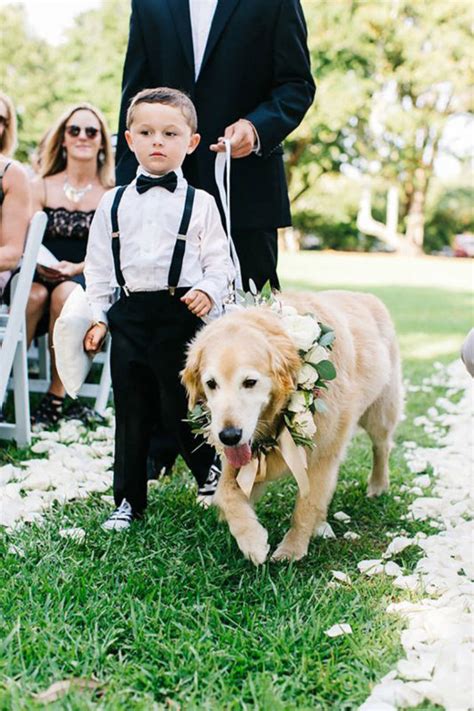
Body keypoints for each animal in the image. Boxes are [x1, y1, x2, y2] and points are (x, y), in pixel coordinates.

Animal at [183, 292, 402, 564]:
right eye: (211, 383)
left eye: (250, 382)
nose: (229, 436)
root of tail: (367, 295)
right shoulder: (244, 457)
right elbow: (225, 494)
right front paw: (252, 540)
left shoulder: (321, 455)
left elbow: (305, 507)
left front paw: (291, 550)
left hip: (379, 413)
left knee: (381, 447)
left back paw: (377, 486)